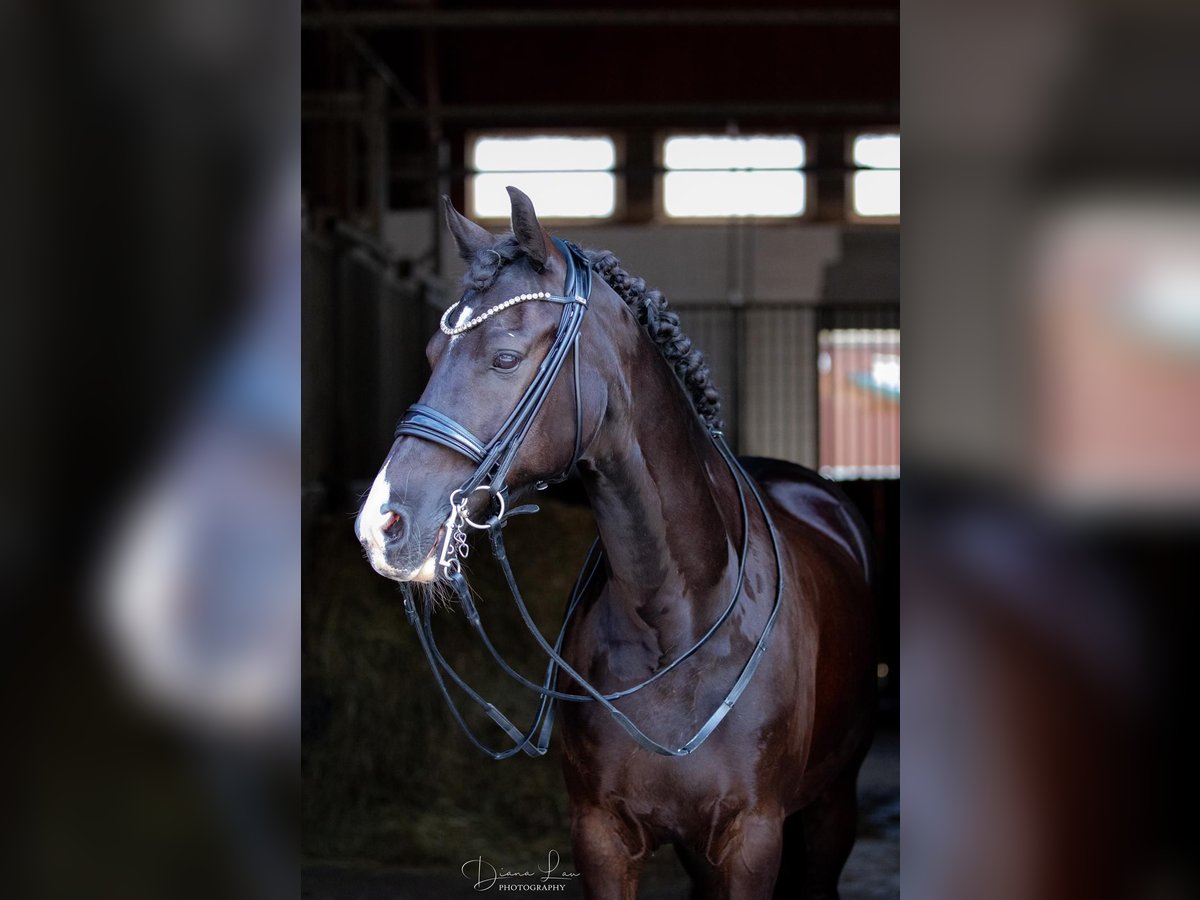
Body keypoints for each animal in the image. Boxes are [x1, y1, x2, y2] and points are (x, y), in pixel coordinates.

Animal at [350, 187, 878, 897]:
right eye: (433, 352)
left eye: (505, 357)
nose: (382, 523)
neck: (675, 625)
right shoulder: (601, 836)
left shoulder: (752, 840)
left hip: (831, 810)